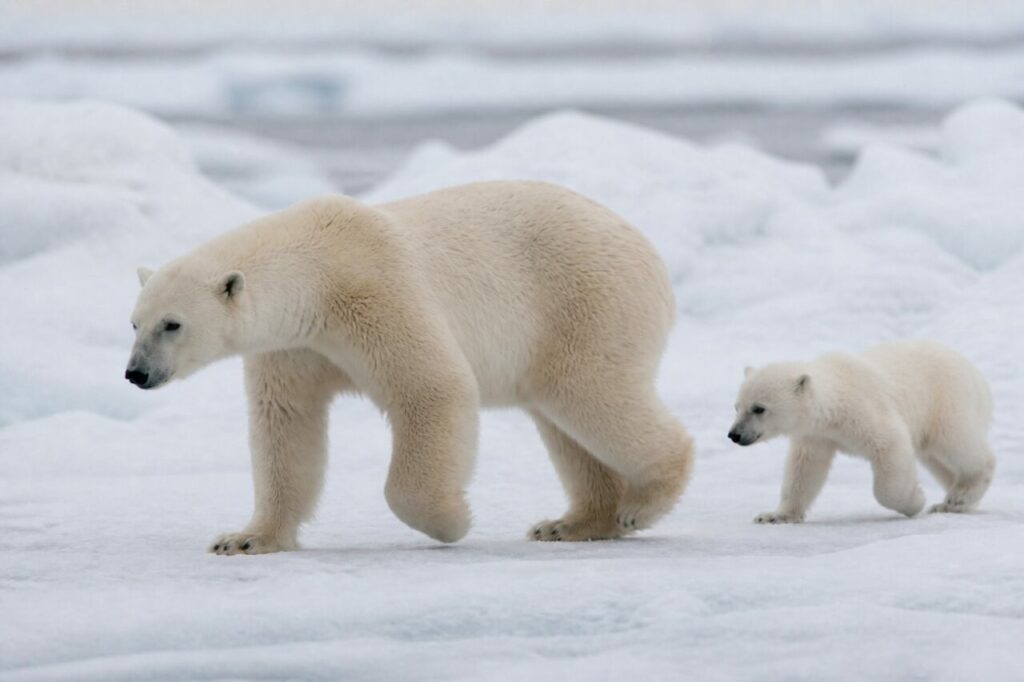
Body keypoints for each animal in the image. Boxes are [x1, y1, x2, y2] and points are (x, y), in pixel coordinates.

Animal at [126, 180, 695, 554]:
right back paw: (571, 523)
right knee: (561, 421)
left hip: (584, 303)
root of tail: (647, 250)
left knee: (589, 393)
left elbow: (433, 389)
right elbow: (285, 425)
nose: (136, 375)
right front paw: (245, 538)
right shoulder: (294, 346)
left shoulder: (374, 292)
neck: (315, 273)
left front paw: (451, 522)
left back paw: (642, 503)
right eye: (134, 323)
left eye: (172, 325)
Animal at [728, 340, 994, 523]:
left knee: (958, 444)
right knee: (936, 460)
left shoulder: (863, 411)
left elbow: (890, 445)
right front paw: (774, 516)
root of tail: (977, 376)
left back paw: (961, 495)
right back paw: (951, 502)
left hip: (946, 402)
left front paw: (914, 502)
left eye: (759, 408)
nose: (734, 435)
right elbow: (804, 468)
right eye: (737, 406)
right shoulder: (818, 435)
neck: (834, 403)